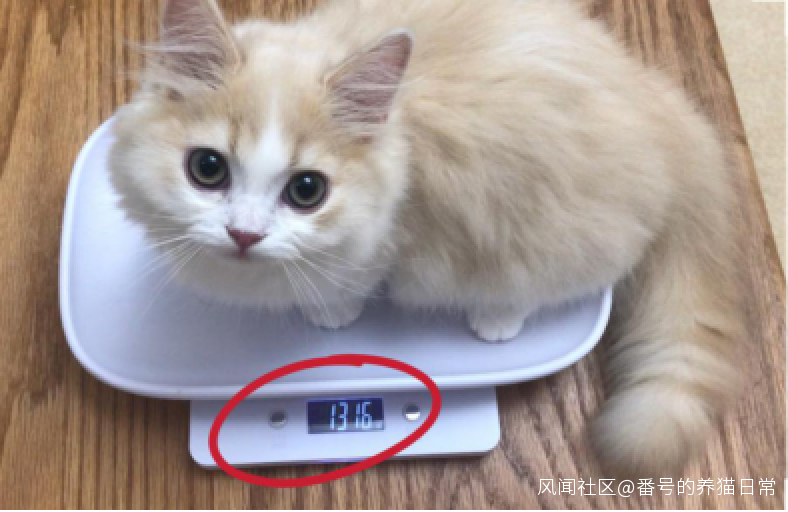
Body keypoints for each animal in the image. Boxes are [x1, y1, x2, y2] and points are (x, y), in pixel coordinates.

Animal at [109, 0, 743, 476]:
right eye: (207, 169)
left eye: (307, 190)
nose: (243, 234)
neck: (399, 133)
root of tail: (661, 106)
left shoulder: (387, 243)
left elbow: (344, 286)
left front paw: (331, 315)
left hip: (552, 234)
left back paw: (495, 321)